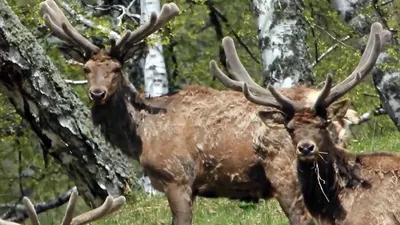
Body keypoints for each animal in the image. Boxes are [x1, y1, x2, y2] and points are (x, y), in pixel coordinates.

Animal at [39, 0, 366, 224]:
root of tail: (338, 116)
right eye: (86, 69)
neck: (142, 135)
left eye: (116, 69)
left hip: (286, 171)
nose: (97, 93)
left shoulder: (177, 176)